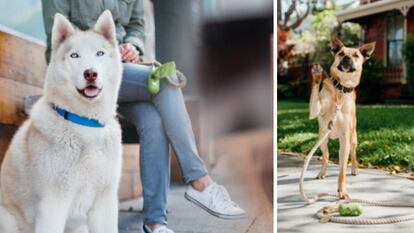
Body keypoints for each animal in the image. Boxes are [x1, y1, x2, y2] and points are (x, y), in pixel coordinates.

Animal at [0, 10, 123, 232]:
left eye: (99, 53)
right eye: (74, 55)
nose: (90, 73)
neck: (85, 122)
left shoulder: (104, 203)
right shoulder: (53, 204)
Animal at [310, 34, 376, 198]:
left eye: (356, 55)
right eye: (340, 53)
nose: (346, 57)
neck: (340, 89)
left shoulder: (345, 139)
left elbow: (342, 170)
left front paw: (342, 191)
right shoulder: (314, 110)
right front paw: (317, 76)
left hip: (353, 139)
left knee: (353, 155)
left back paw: (354, 169)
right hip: (322, 139)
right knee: (326, 156)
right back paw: (322, 172)